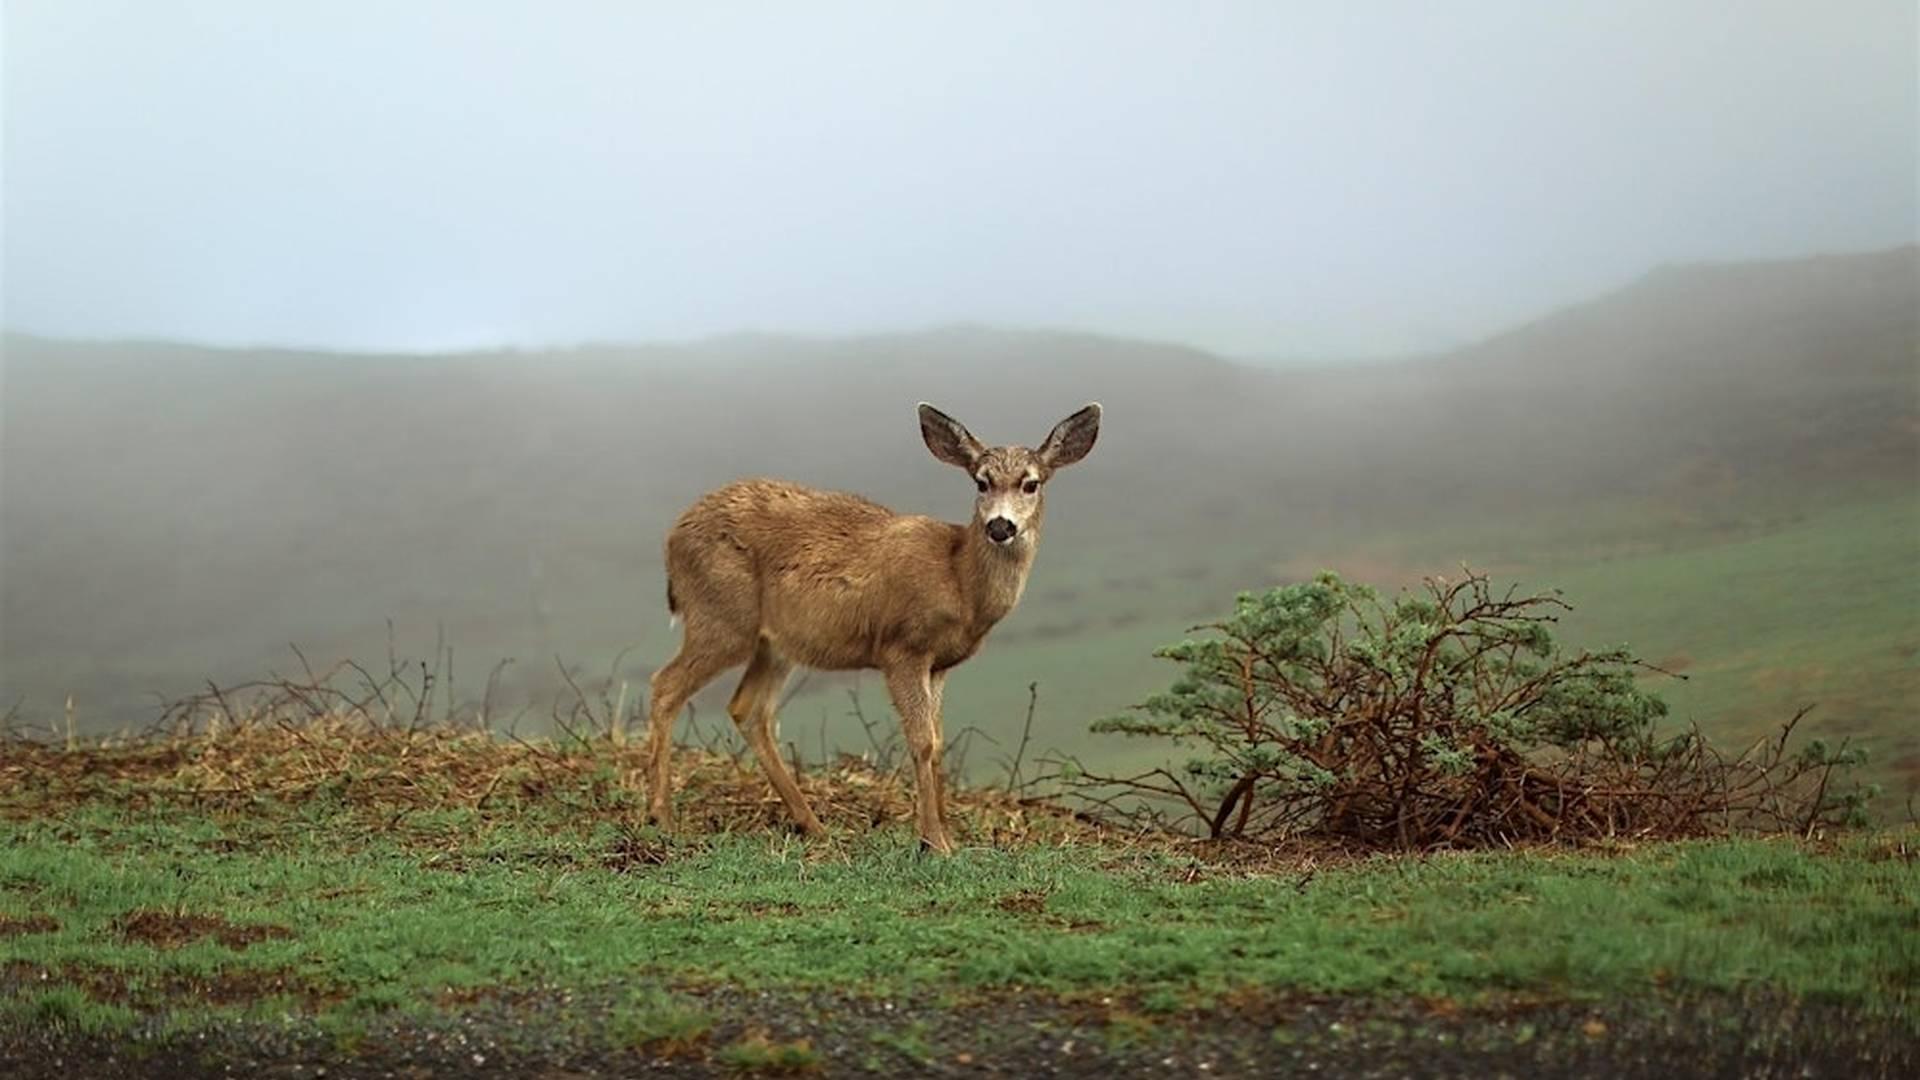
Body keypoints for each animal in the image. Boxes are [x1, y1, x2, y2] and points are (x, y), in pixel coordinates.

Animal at [641, 399, 1105, 845]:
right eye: (981, 481)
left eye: (1031, 483)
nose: (1000, 526)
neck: (958, 579)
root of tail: (672, 537)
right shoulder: (901, 647)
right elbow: (922, 741)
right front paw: (933, 842)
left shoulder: (940, 664)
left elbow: (939, 742)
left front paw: (947, 834)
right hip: (721, 617)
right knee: (665, 685)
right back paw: (661, 815)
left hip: (773, 643)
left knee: (747, 708)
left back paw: (811, 823)